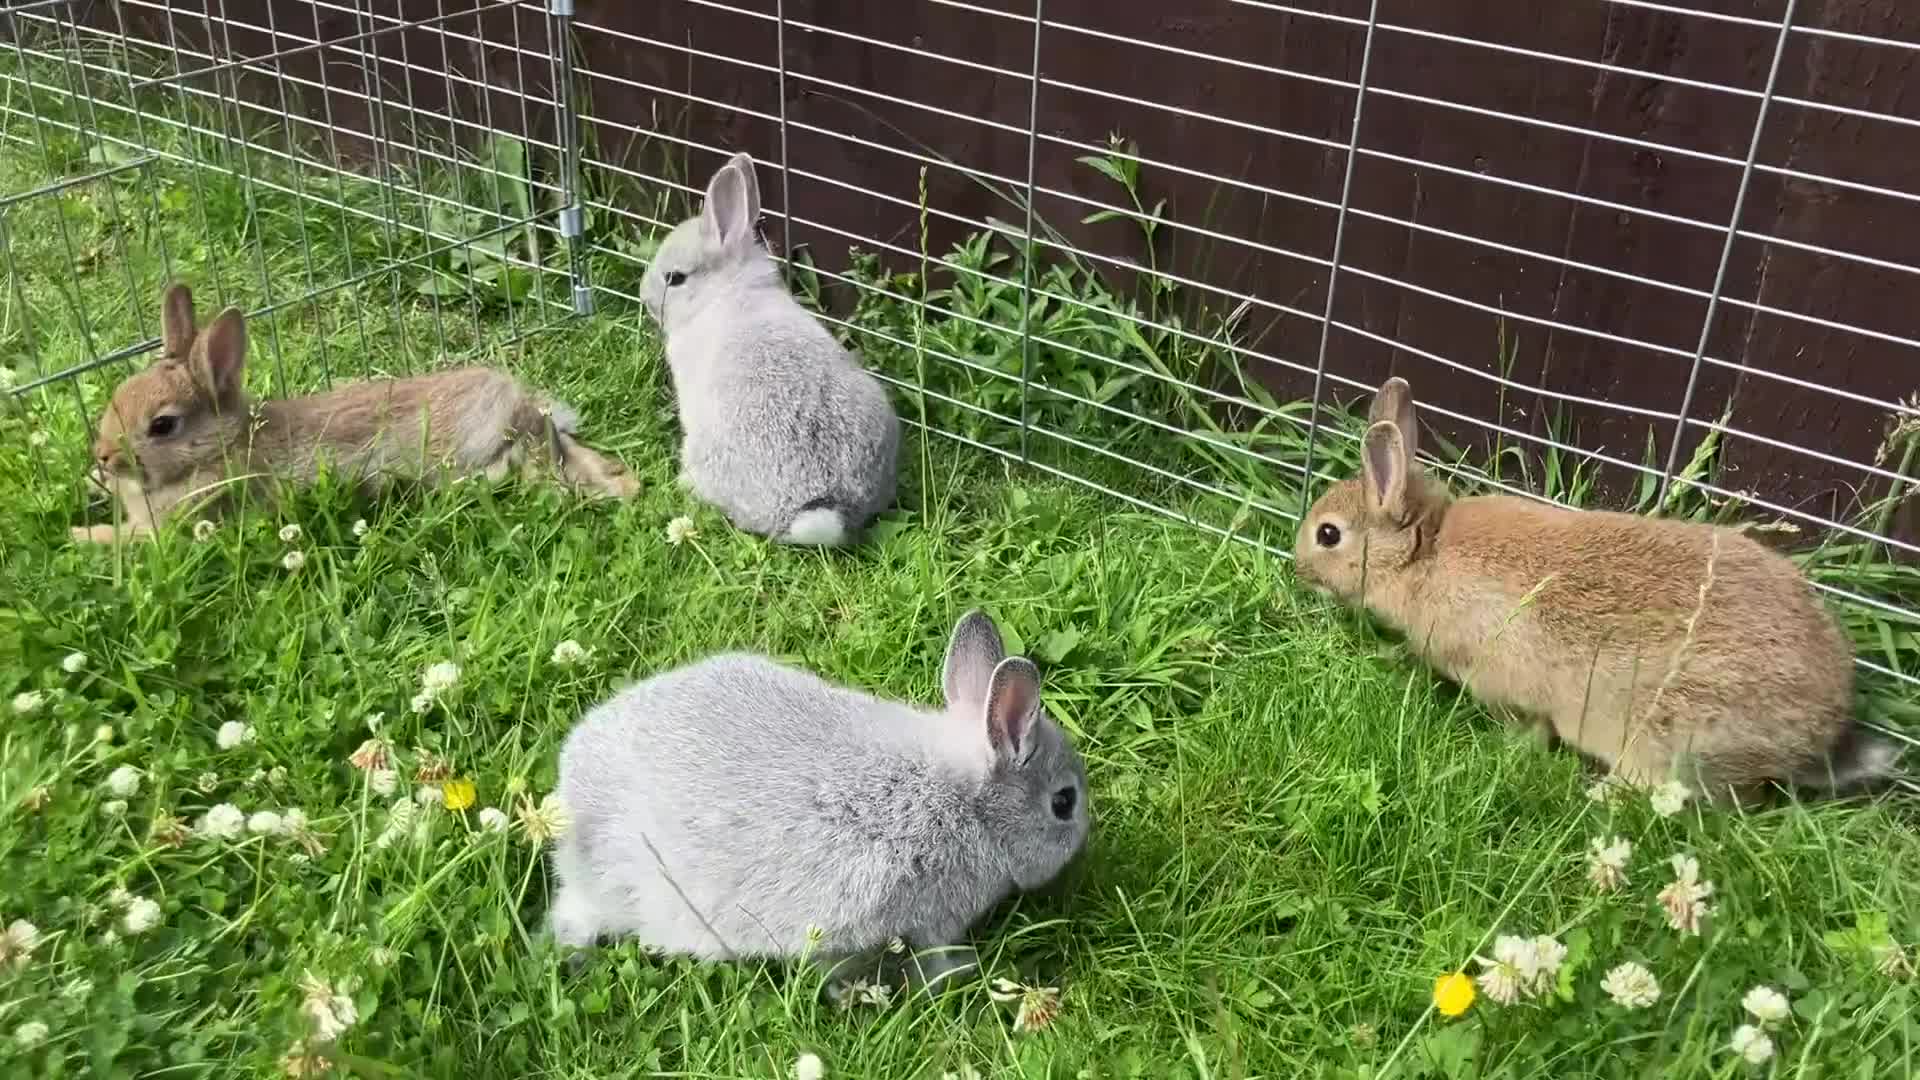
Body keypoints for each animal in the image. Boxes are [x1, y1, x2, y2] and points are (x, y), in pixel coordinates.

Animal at [73, 282, 638, 544]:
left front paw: (81, 539)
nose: (103, 456)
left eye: (162, 426)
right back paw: (624, 482)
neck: (222, 446)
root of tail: (514, 400)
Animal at [548, 609, 1091, 996]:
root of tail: (571, 788)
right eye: (1064, 802)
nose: (1085, 840)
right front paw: (962, 973)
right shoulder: (931, 918)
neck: (967, 805)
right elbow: (935, 959)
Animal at [1293, 376, 1900, 801]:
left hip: (1669, 733)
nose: (1298, 570)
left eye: (1329, 535)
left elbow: (1529, 726)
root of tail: (1818, 732)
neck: (1425, 555)